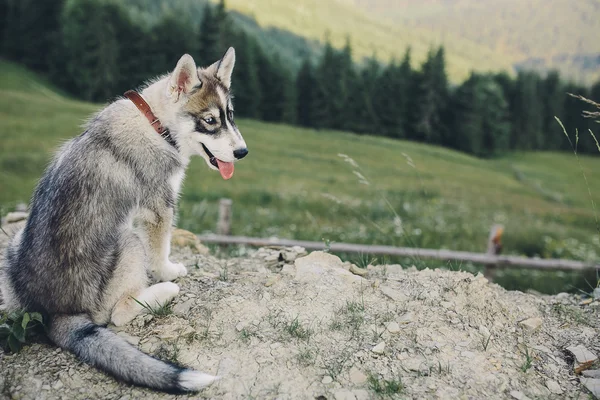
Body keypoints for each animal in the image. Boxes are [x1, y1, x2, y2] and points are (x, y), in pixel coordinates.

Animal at [0, 48, 247, 392]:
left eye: (231, 115)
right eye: (209, 120)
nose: (243, 152)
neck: (155, 122)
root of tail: (55, 313)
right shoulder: (158, 208)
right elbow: (160, 252)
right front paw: (169, 271)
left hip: (14, 244)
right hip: (128, 241)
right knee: (119, 313)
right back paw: (164, 290)